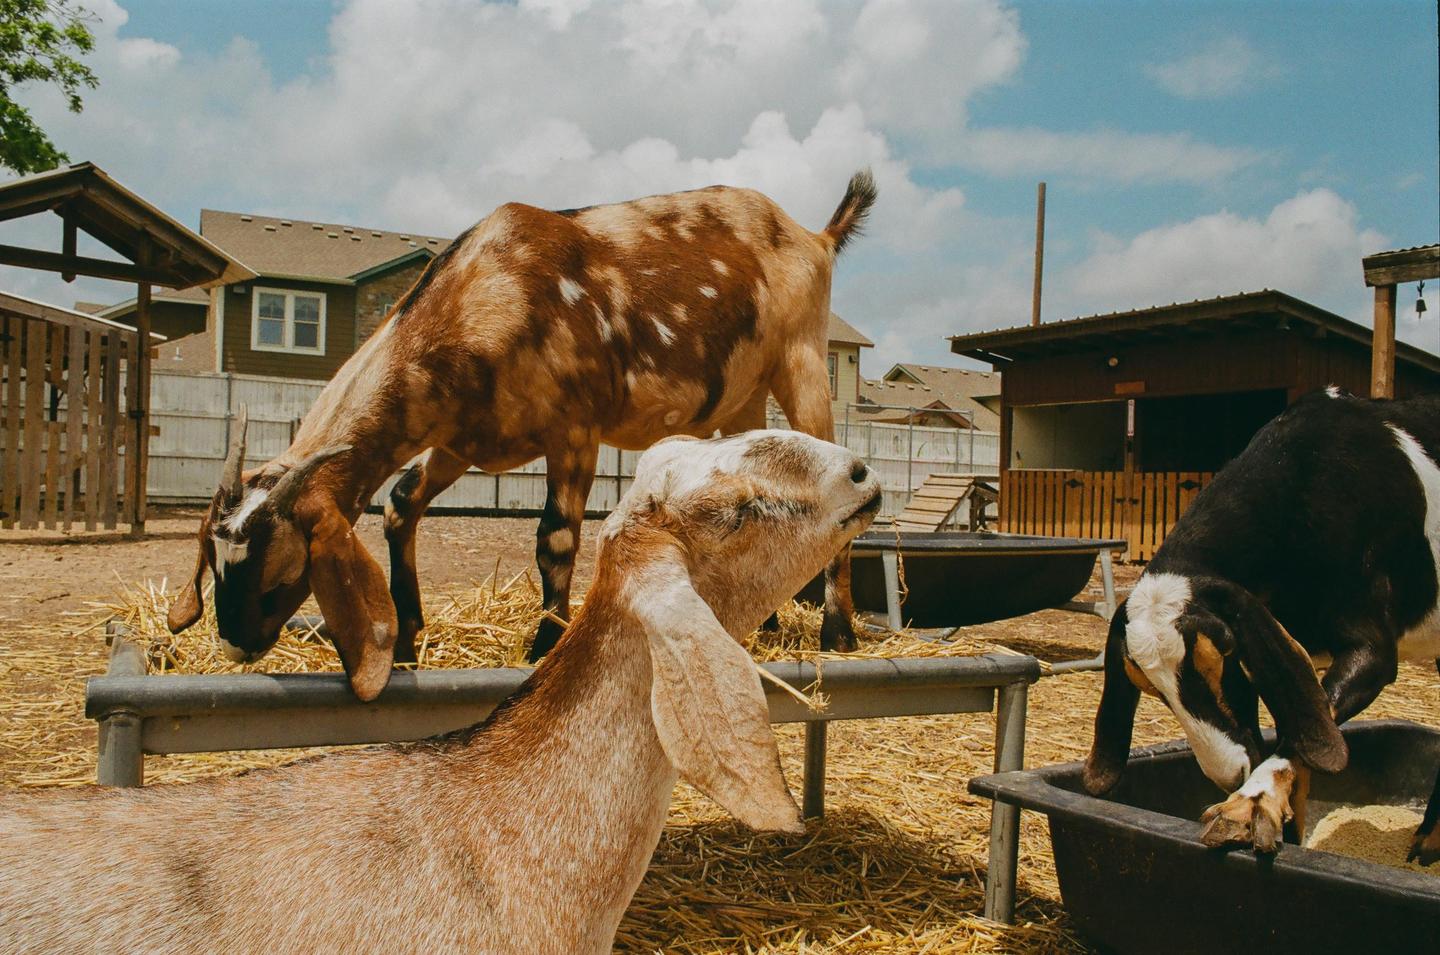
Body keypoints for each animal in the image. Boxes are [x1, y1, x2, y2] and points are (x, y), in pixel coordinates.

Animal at [167, 172, 878, 700]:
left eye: (286, 570)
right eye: (215, 557)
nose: (233, 642)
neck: (483, 292)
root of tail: (814, 236)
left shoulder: (575, 430)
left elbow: (555, 540)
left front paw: (543, 646)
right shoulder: (459, 442)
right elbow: (400, 504)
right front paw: (408, 640)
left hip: (803, 361)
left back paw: (837, 633)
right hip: (741, 396)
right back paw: (766, 624)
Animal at [1084, 388, 1440, 863]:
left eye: (1220, 660)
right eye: (1149, 688)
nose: (1230, 775)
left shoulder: (1371, 649)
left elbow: (1302, 728)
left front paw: (1247, 805)